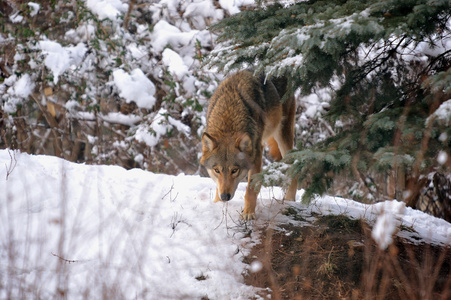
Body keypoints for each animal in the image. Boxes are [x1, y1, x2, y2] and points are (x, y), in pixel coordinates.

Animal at [200, 70, 298, 220]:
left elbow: (250, 190)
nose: (225, 197)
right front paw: (218, 204)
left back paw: (289, 200)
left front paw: (248, 213)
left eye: (235, 170)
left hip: (283, 136)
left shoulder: (256, 156)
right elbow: (217, 186)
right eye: (216, 170)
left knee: (294, 166)